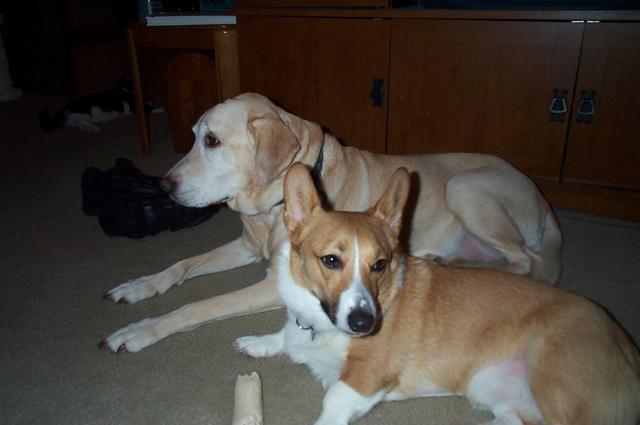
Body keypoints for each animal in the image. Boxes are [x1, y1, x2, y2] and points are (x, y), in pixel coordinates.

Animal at [101, 92, 561, 353]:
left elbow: (198, 305)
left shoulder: (276, 281)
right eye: (195, 136)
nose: (163, 185)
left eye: (212, 141)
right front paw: (139, 286)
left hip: (464, 187)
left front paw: (140, 331)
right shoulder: (248, 247)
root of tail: (542, 199)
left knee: (527, 261)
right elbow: (181, 265)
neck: (270, 207)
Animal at [236, 163, 640, 425]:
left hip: (555, 385)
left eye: (379, 264)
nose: (365, 323)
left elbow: (332, 399)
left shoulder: (366, 376)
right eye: (331, 260)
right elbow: (283, 336)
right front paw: (258, 342)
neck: (323, 325)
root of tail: (627, 345)